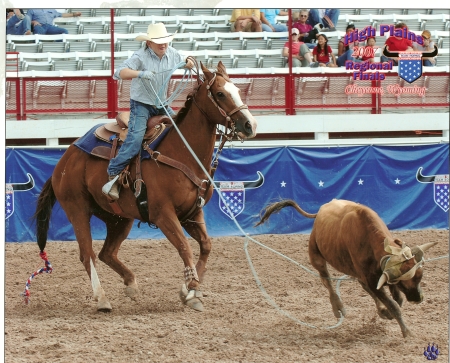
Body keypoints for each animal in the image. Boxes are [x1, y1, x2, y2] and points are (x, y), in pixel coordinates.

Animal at [32, 62, 256, 312]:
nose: (250, 125)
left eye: (237, 90)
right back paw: (102, 299)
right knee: (87, 254)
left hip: (119, 218)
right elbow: (184, 247)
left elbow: (206, 246)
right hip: (77, 209)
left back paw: (130, 283)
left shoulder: (192, 213)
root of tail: (65, 158)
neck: (183, 153)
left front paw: (190, 289)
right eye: (220, 93)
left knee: (106, 253)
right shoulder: (163, 214)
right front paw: (190, 292)